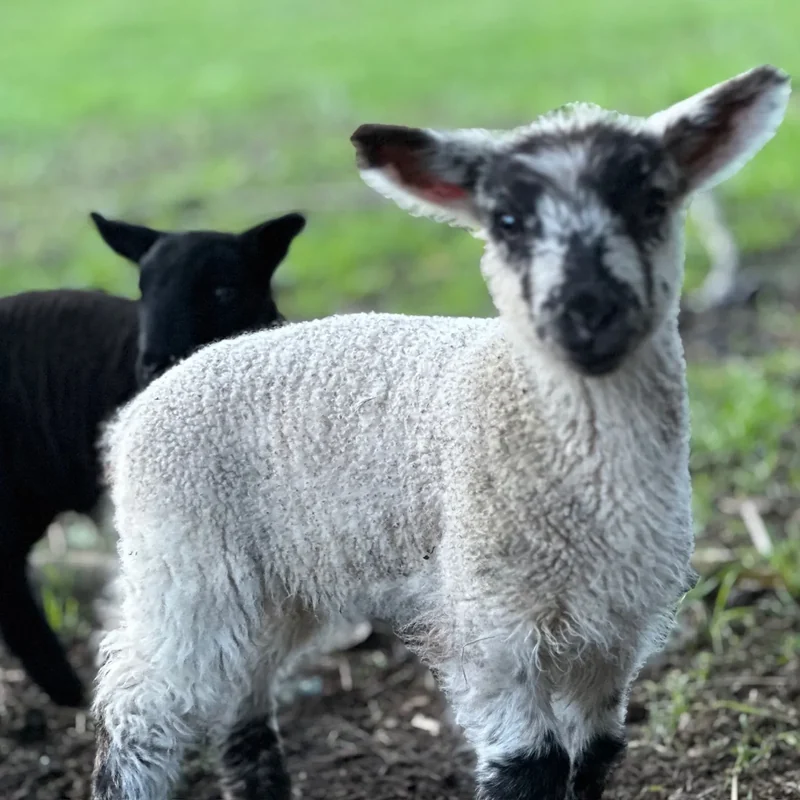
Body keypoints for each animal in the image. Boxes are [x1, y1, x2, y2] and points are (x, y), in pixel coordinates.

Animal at [91, 65, 790, 800]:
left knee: (241, 696)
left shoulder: (612, 633)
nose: (587, 311)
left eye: (652, 203)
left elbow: (595, 755)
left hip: (274, 580)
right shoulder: (492, 624)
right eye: (506, 221)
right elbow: (528, 768)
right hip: (183, 562)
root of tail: (143, 406)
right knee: (139, 701)